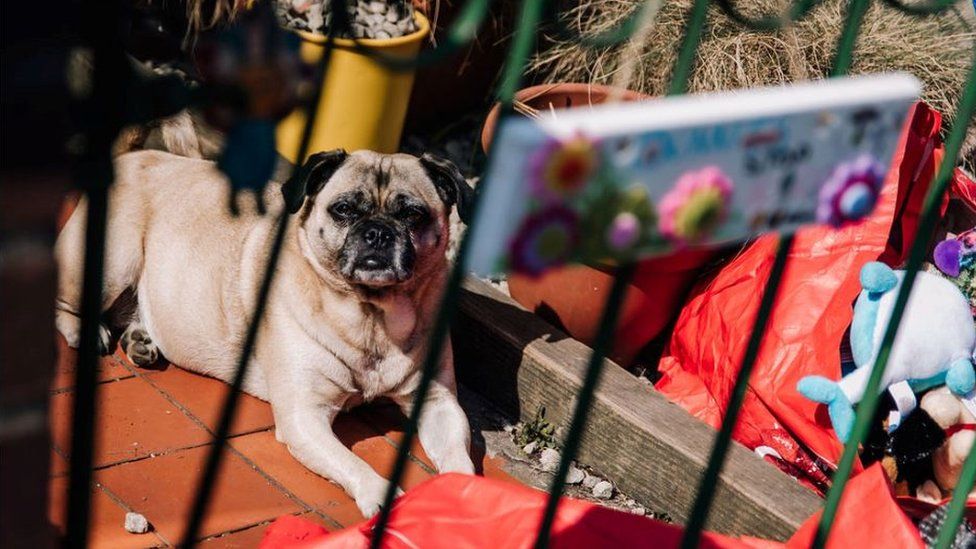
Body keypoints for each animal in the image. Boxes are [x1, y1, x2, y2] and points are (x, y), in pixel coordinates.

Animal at [56, 148, 476, 516]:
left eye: (412, 215)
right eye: (343, 210)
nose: (378, 232)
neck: (372, 317)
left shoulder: (438, 403)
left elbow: (458, 454)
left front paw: (467, 491)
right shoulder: (304, 416)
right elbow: (353, 462)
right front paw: (378, 493)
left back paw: (140, 341)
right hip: (112, 262)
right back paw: (87, 332)